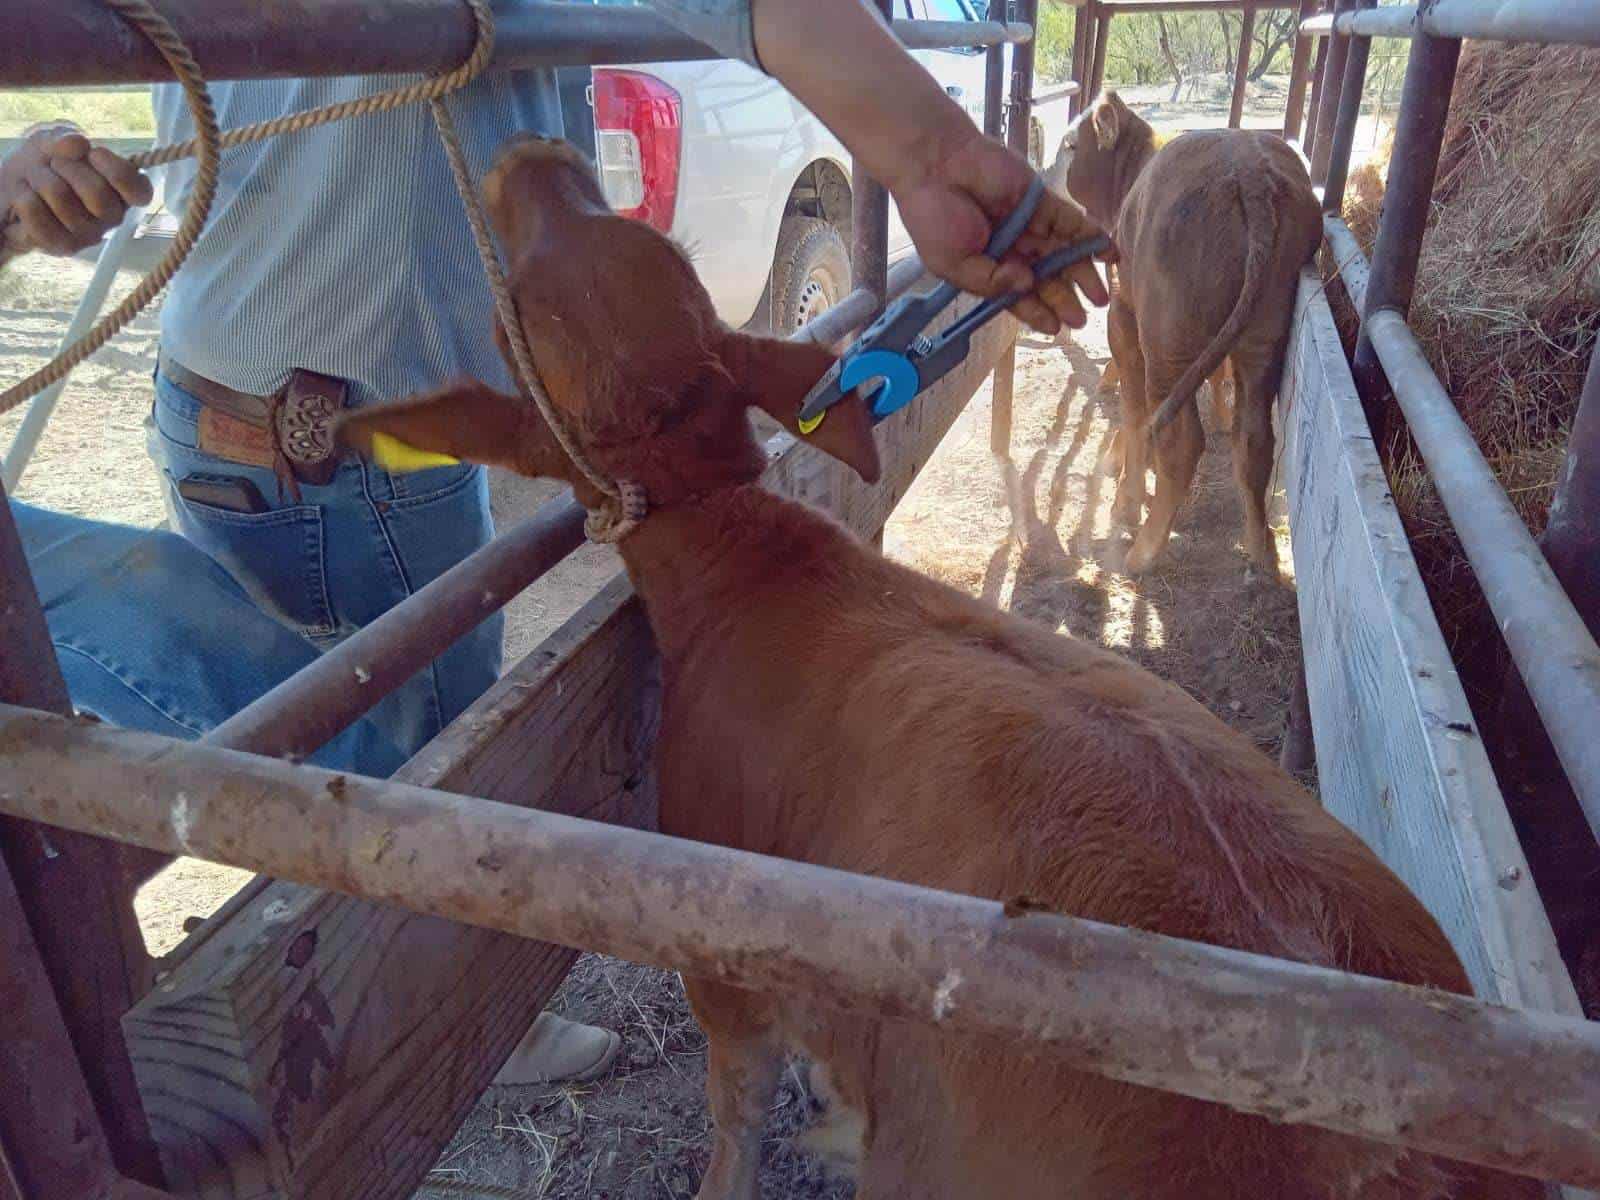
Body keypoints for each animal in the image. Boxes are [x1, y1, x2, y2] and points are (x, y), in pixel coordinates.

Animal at [1049, 91, 1312, 579]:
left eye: (1072, 145)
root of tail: (1250, 171)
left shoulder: (1123, 315)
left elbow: (1134, 410)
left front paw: (1126, 498)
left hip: (1165, 344)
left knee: (1181, 439)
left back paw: (1144, 549)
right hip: (1262, 340)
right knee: (1253, 439)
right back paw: (1261, 548)